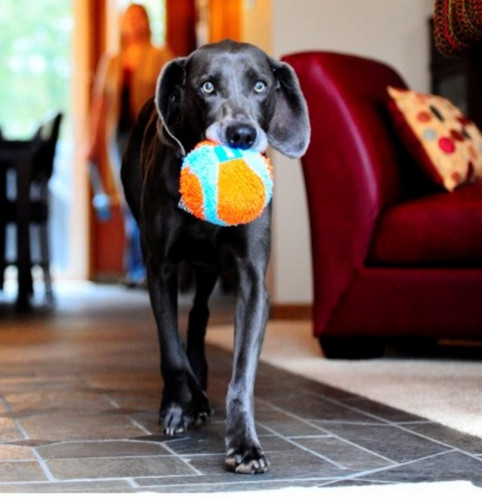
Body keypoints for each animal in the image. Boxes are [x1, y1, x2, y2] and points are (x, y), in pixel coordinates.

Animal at [120, 40, 308, 472]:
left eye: (260, 86)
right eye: (206, 86)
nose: (241, 134)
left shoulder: (253, 282)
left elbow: (242, 374)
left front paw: (245, 446)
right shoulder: (160, 269)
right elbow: (170, 349)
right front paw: (177, 407)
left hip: (208, 268)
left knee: (200, 314)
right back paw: (194, 398)